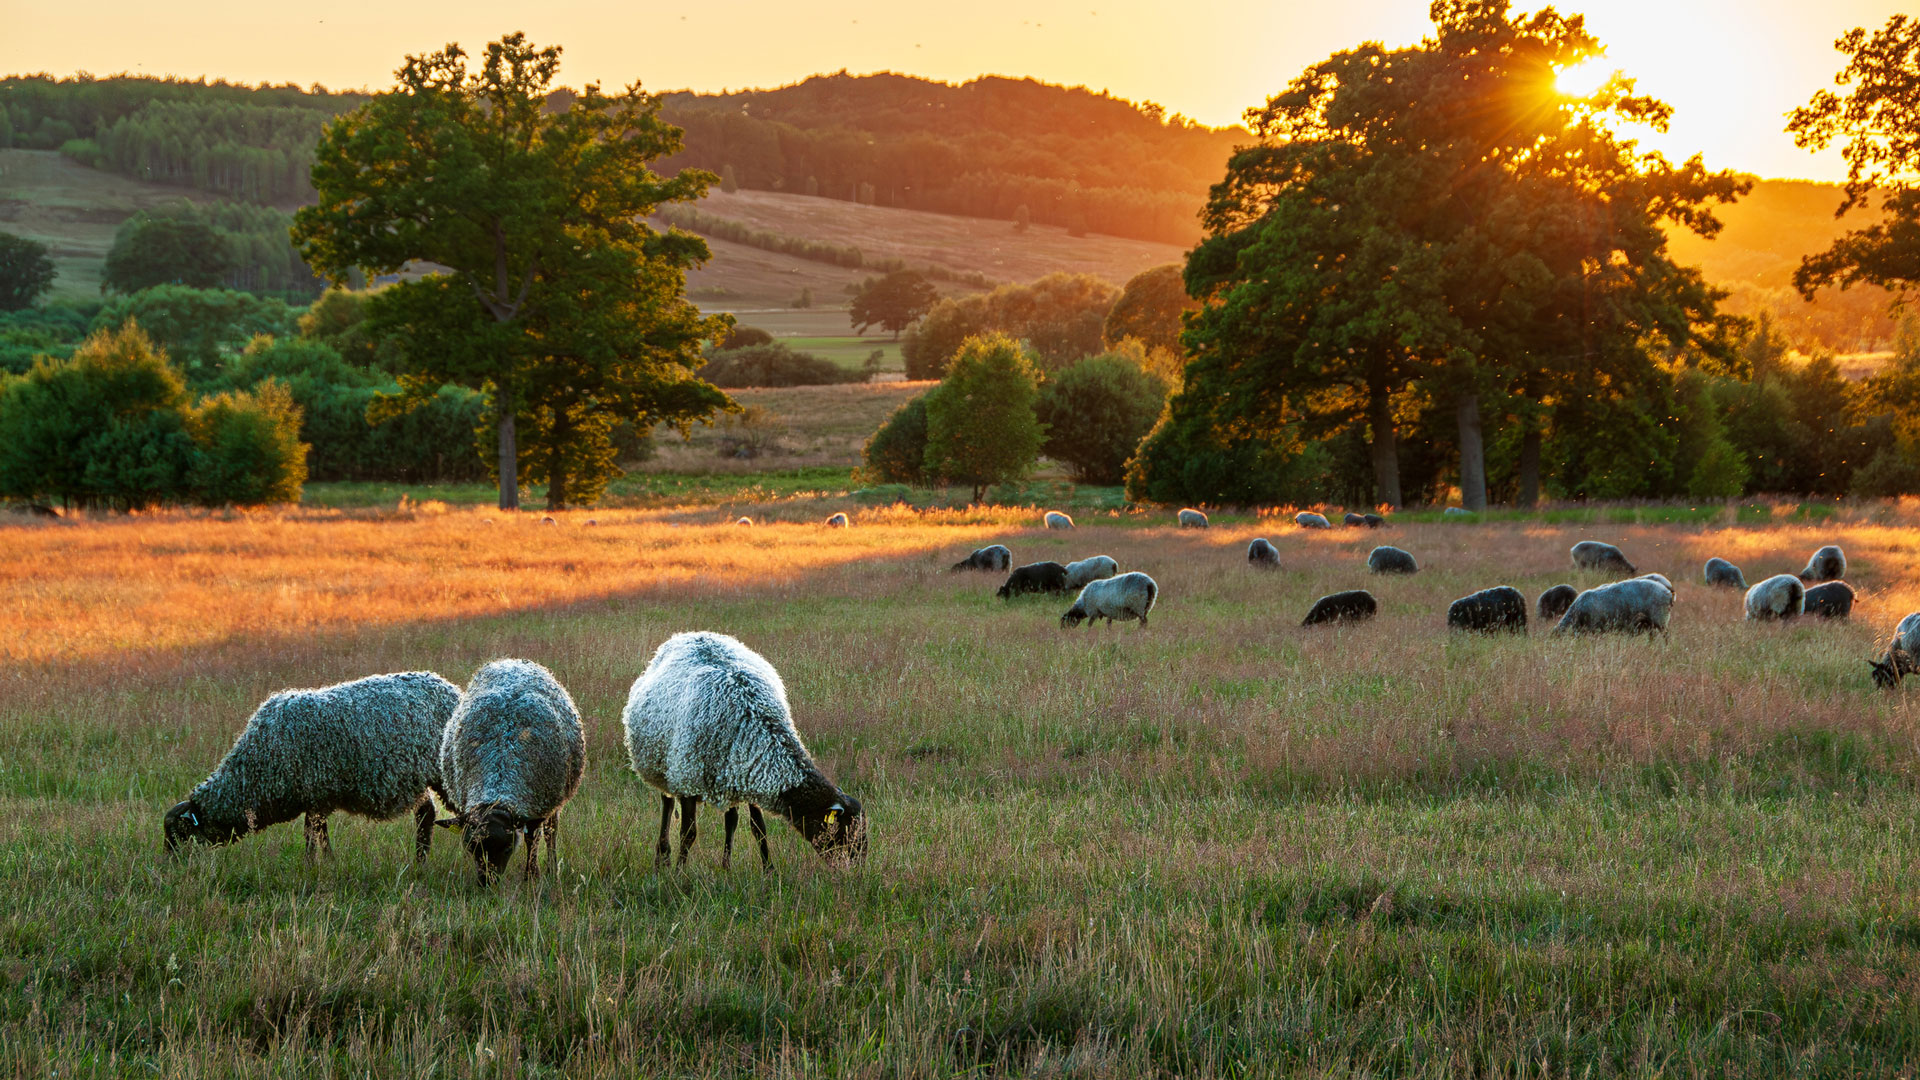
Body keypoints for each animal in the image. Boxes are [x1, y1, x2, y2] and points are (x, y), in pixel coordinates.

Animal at [165, 672, 460, 857]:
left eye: (178, 834)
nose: (172, 866)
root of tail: (447, 687)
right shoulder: (316, 799)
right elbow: (318, 833)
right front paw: (325, 862)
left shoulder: (316, 792)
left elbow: (312, 835)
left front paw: (314, 865)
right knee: (426, 814)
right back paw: (420, 860)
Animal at [435, 657, 583, 883]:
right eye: (471, 848)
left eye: (507, 849)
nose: (486, 882)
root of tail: (511, 661)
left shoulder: (535, 806)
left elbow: (532, 839)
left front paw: (531, 876)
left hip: (555, 797)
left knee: (551, 831)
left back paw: (551, 869)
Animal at [625, 630, 867, 864]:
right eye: (844, 832)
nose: (854, 868)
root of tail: (687, 634)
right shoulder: (687, 781)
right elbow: (688, 833)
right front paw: (679, 872)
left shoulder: (752, 772)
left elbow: (759, 829)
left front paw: (769, 870)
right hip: (660, 765)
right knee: (666, 804)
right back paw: (663, 856)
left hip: (729, 776)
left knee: (731, 819)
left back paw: (726, 866)